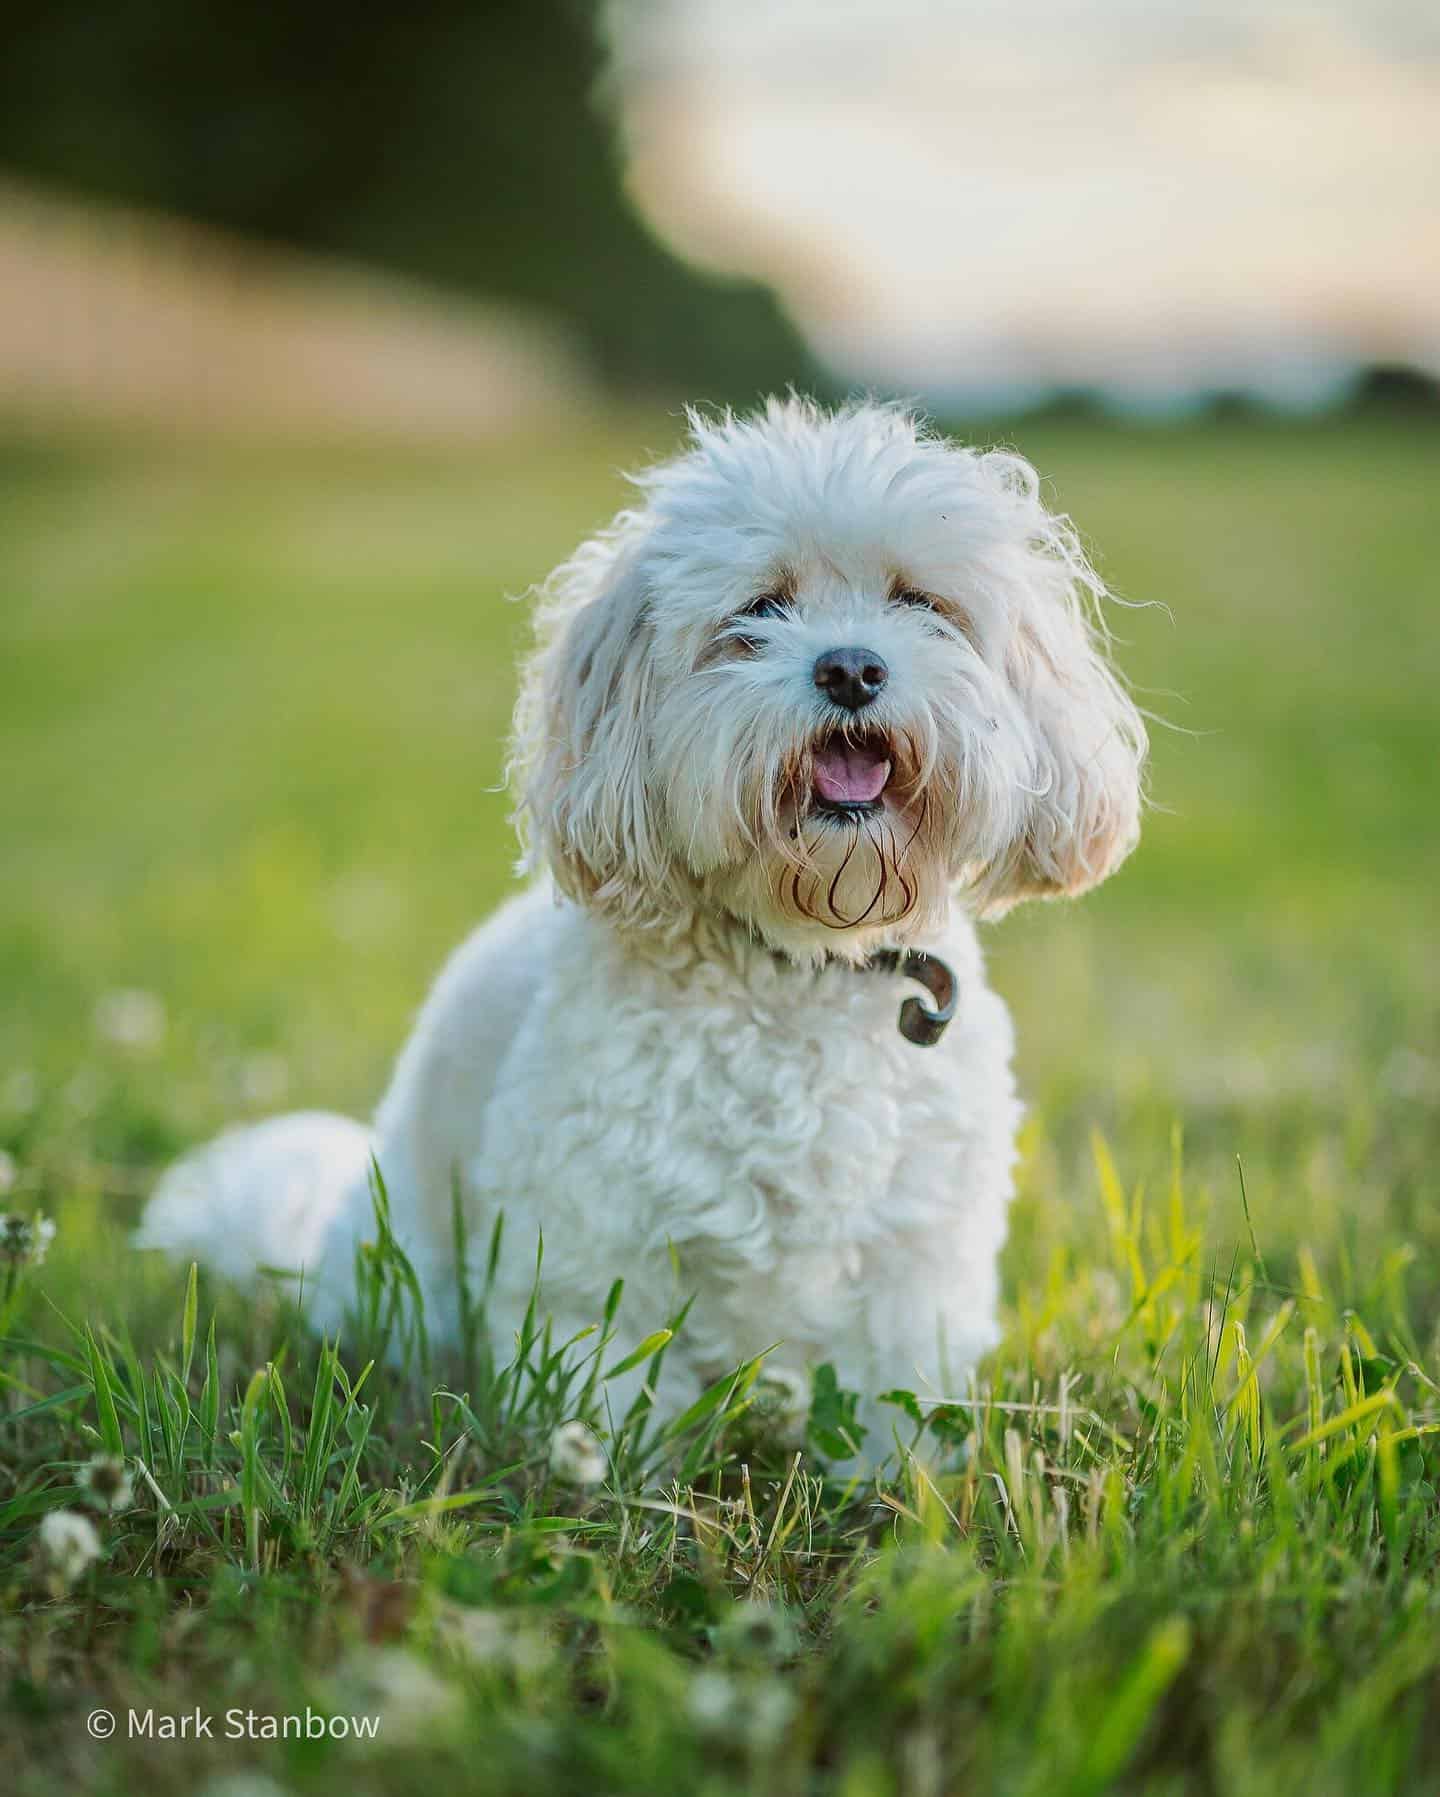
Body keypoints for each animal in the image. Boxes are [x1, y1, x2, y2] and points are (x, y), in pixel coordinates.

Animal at [142, 400, 1143, 1451]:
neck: (802, 961)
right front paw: (611, 1466)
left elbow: (898, 1388)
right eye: (759, 611)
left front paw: (900, 1475)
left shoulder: (918, 1253)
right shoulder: (591, 1243)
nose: (852, 667)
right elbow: (606, 1383)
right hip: (404, 1282)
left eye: (921, 601)